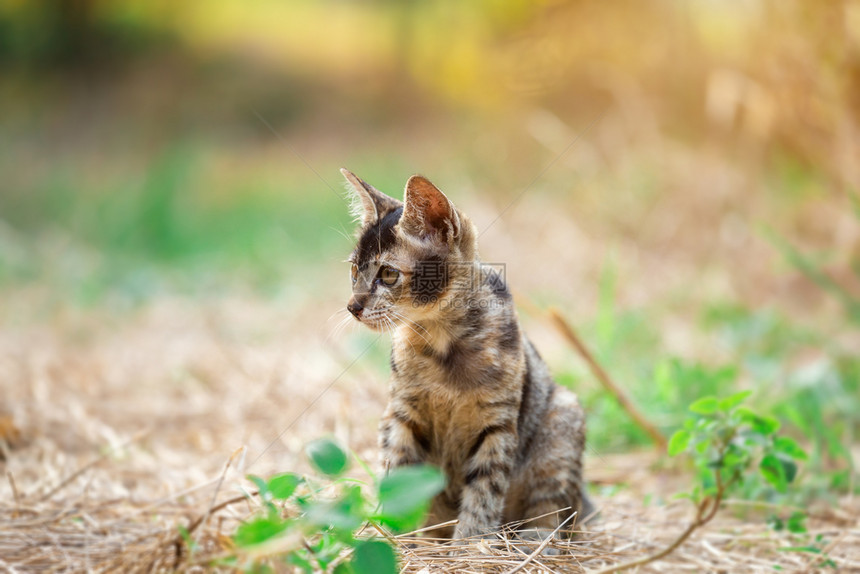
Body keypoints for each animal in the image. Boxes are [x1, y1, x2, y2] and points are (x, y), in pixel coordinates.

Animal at [342, 169, 592, 544]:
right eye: (354, 271)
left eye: (388, 274)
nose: (352, 306)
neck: (442, 344)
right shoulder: (400, 415)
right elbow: (399, 476)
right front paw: (397, 540)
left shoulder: (497, 425)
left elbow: (485, 490)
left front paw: (471, 544)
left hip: (562, 419)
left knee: (554, 507)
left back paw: (538, 540)